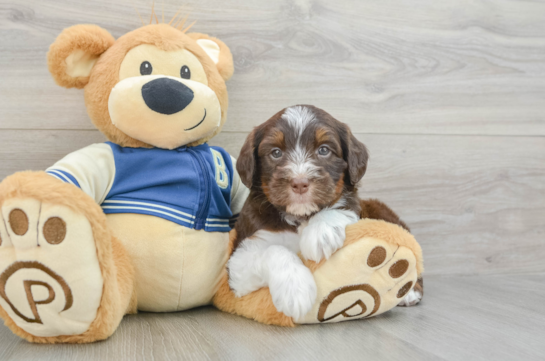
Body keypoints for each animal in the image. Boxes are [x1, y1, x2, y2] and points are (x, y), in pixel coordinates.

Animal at [225, 105, 420, 318]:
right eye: (276, 153)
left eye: (324, 150)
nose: (300, 183)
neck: (300, 217)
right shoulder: (240, 261)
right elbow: (273, 250)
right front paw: (295, 290)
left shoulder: (352, 205)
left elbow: (339, 206)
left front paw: (320, 234)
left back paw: (409, 292)